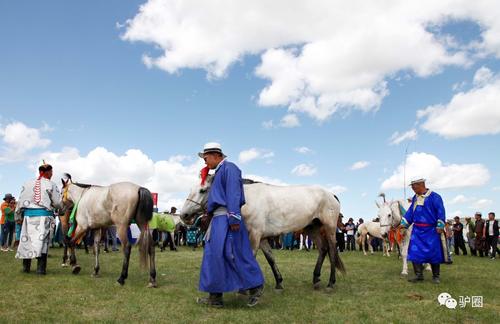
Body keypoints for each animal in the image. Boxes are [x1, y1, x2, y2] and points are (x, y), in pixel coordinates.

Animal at [181, 177, 348, 292]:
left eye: (203, 190)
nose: (184, 215)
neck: (246, 201)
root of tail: (331, 194)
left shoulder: (255, 235)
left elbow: (252, 257)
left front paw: (247, 288)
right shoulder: (262, 238)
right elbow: (270, 259)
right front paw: (279, 283)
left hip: (329, 228)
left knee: (332, 250)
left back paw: (330, 283)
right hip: (312, 228)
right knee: (323, 249)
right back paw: (316, 279)